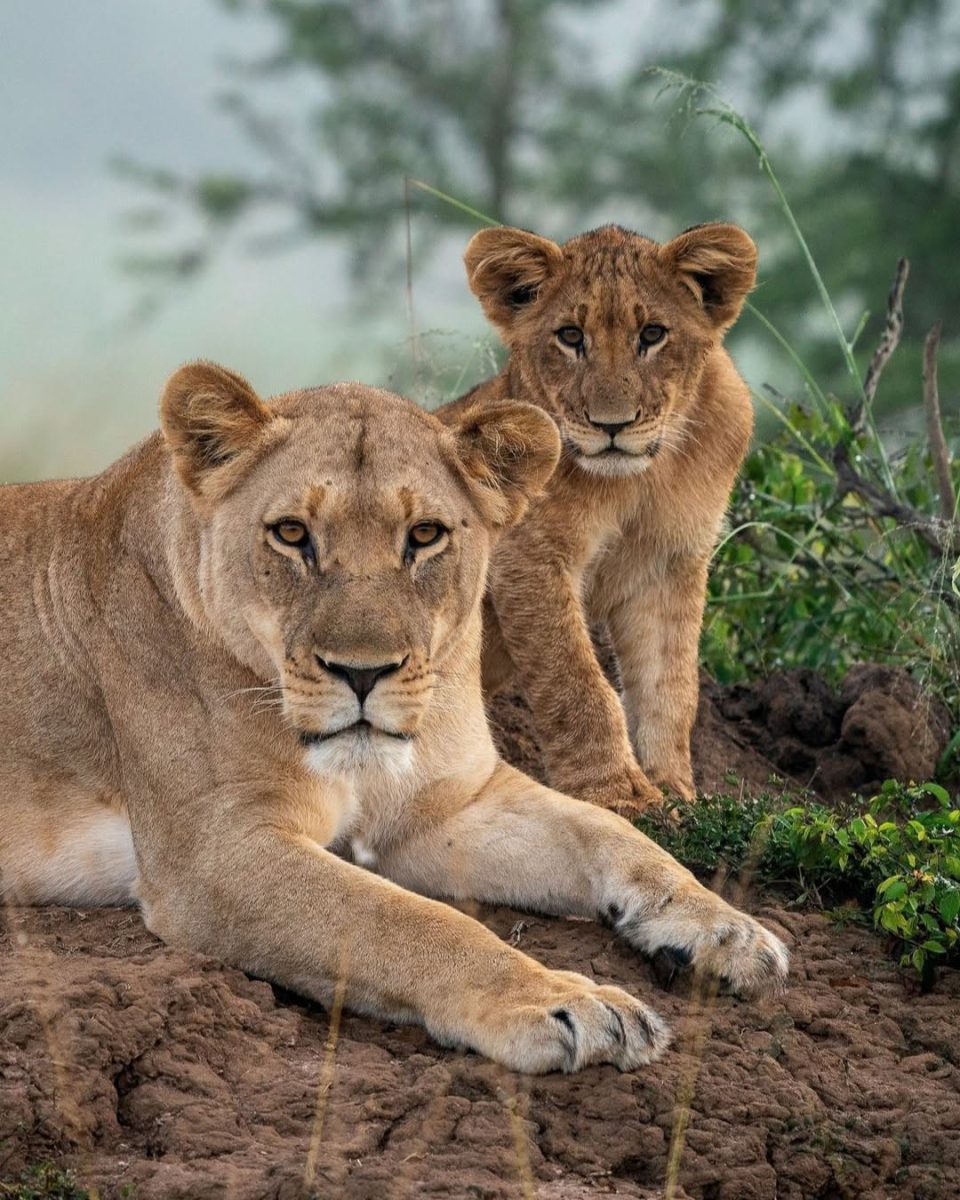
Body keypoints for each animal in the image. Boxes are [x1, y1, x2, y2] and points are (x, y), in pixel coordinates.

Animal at [0, 362, 786, 1073]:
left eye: (426, 534)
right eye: (292, 533)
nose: (362, 673)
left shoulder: (445, 807)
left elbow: (610, 832)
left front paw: (728, 930)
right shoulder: (215, 854)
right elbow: (411, 922)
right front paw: (567, 1003)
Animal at [439, 222, 757, 812]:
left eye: (652, 334)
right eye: (570, 336)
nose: (613, 424)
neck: (637, 483)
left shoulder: (669, 564)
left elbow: (671, 686)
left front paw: (675, 790)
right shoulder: (528, 557)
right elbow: (576, 680)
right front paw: (616, 794)